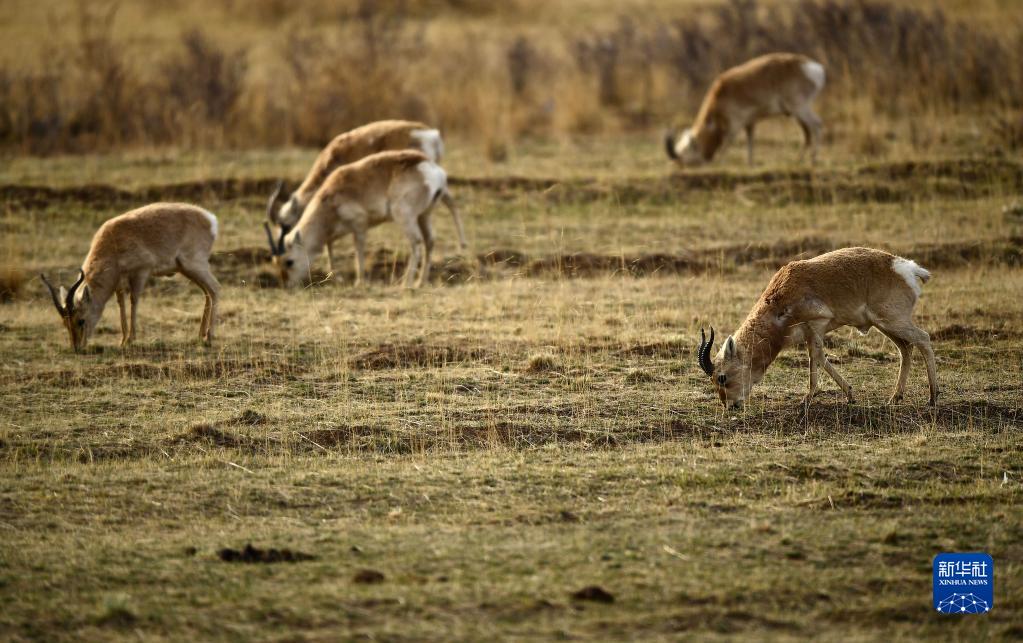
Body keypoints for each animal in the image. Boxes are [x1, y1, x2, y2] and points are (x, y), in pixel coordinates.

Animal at [40, 203, 220, 351]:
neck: (113, 241)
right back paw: (201, 335)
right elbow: (122, 305)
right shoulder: (119, 282)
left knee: (215, 289)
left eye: (81, 320)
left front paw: (130, 340)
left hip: (194, 266)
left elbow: (134, 301)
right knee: (207, 293)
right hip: (187, 270)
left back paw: (209, 338)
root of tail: (209, 219)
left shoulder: (141, 272)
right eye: (65, 322)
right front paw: (122, 340)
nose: (76, 348)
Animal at [263, 149, 460, 286]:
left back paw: (406, 282)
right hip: (424, 215)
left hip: (405, 216)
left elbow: (358, 250)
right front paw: (335, 277)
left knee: (416, 241)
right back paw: (420, 282)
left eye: (289, 261)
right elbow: (329, 246)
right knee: (429, 241)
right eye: (275, 262)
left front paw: (360, 282)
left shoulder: (359, 226)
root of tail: (431, 168)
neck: (332, 195)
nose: (288, 284)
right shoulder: (338, 230)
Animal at [265, 118, 462, 267]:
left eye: (286, 226)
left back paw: (462, 244)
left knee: (449, 201)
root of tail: (432, 135)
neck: (332, 156)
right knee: (450, 200)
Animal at [666, 52, 826, 165]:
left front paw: (720, 163)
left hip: (800, 109)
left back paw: (813, 160)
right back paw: (798, 160)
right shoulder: (750, 123)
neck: (721, 91)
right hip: (794, 113)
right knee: (807, 134)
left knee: (816, 125)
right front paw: (750, 164)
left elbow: (727, 142)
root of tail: (815, 68)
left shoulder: (735, 123)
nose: (677, 164)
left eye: (685, 152)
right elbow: (750, 141)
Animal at [695, 245, 937, 406]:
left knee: (923, 338)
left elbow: (817, 357)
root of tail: (906, 268)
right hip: (885, 325)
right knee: (906, 348)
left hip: (893, 321)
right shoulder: (810, 333)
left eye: (722, 377)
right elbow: (816, 357)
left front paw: (814, 397)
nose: (730, 405)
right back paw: (895, 397)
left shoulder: (816, 326)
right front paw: (842, 395)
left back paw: (933, 398)